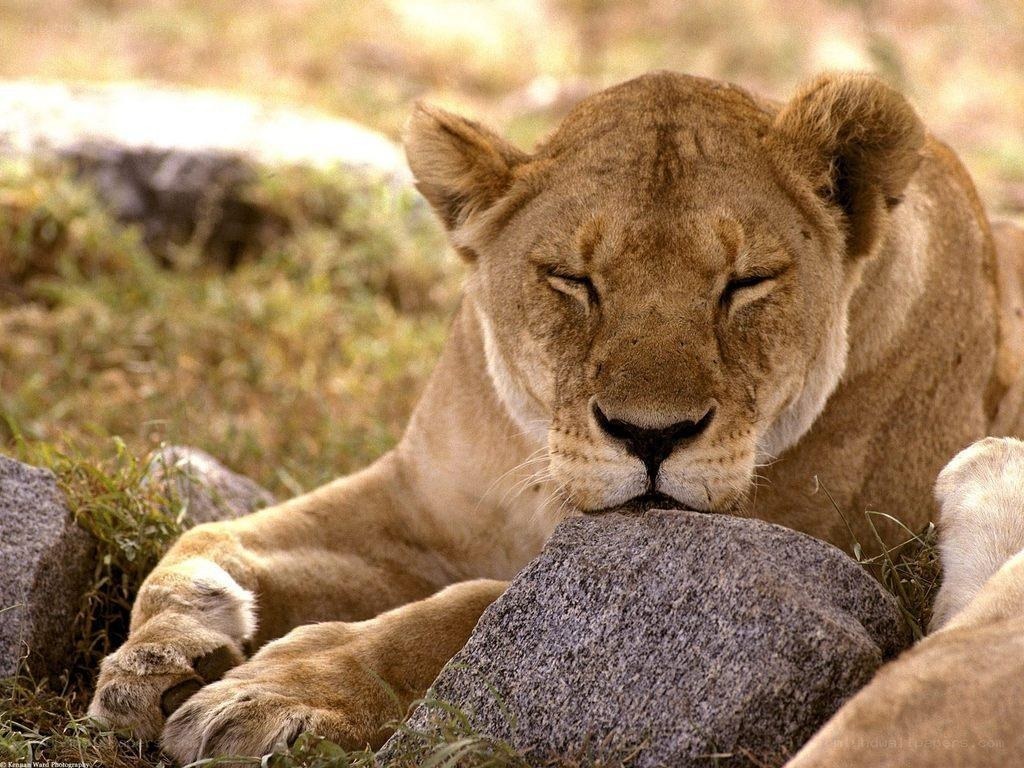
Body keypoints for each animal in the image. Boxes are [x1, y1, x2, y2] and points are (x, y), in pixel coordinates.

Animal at [86, 71, 1024, 761]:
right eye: (572, 280)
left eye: (746, 282)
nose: (651, 435)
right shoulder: (420, 504)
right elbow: (211, 538)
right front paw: (165, 647)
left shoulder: (829, 561)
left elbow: (470, 610)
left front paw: (279, 690)